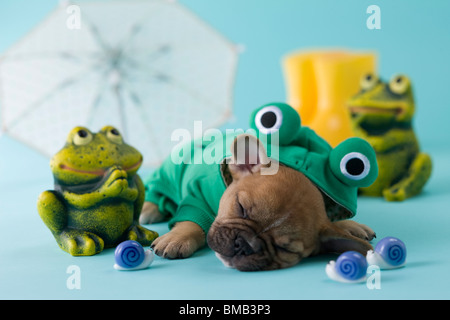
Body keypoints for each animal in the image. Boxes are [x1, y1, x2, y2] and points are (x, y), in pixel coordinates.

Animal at [139, 134, 374, 272]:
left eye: (284, 248)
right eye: (240, 207)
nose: (244, 244)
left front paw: (348, 225)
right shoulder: (196, 196)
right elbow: (192, 221)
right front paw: (177, 238)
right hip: (170, 170)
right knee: (157, 190)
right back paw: (149, 209)